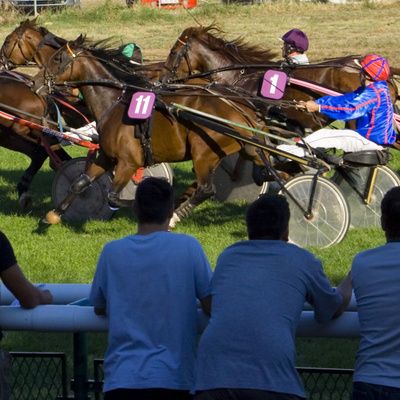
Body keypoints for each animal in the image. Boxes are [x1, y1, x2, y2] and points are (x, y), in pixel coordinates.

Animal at [33, 35, 272, 225]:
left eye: (57, 59)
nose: (35, 82)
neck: (114, 103)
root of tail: (241, 108)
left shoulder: (128, 162)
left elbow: (113, 196)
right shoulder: (107, 157)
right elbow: (80, 183)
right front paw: (52, 215)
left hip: (203, 153)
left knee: (206, 189)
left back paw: (174, 216)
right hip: (249, 149)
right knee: (269, 171)